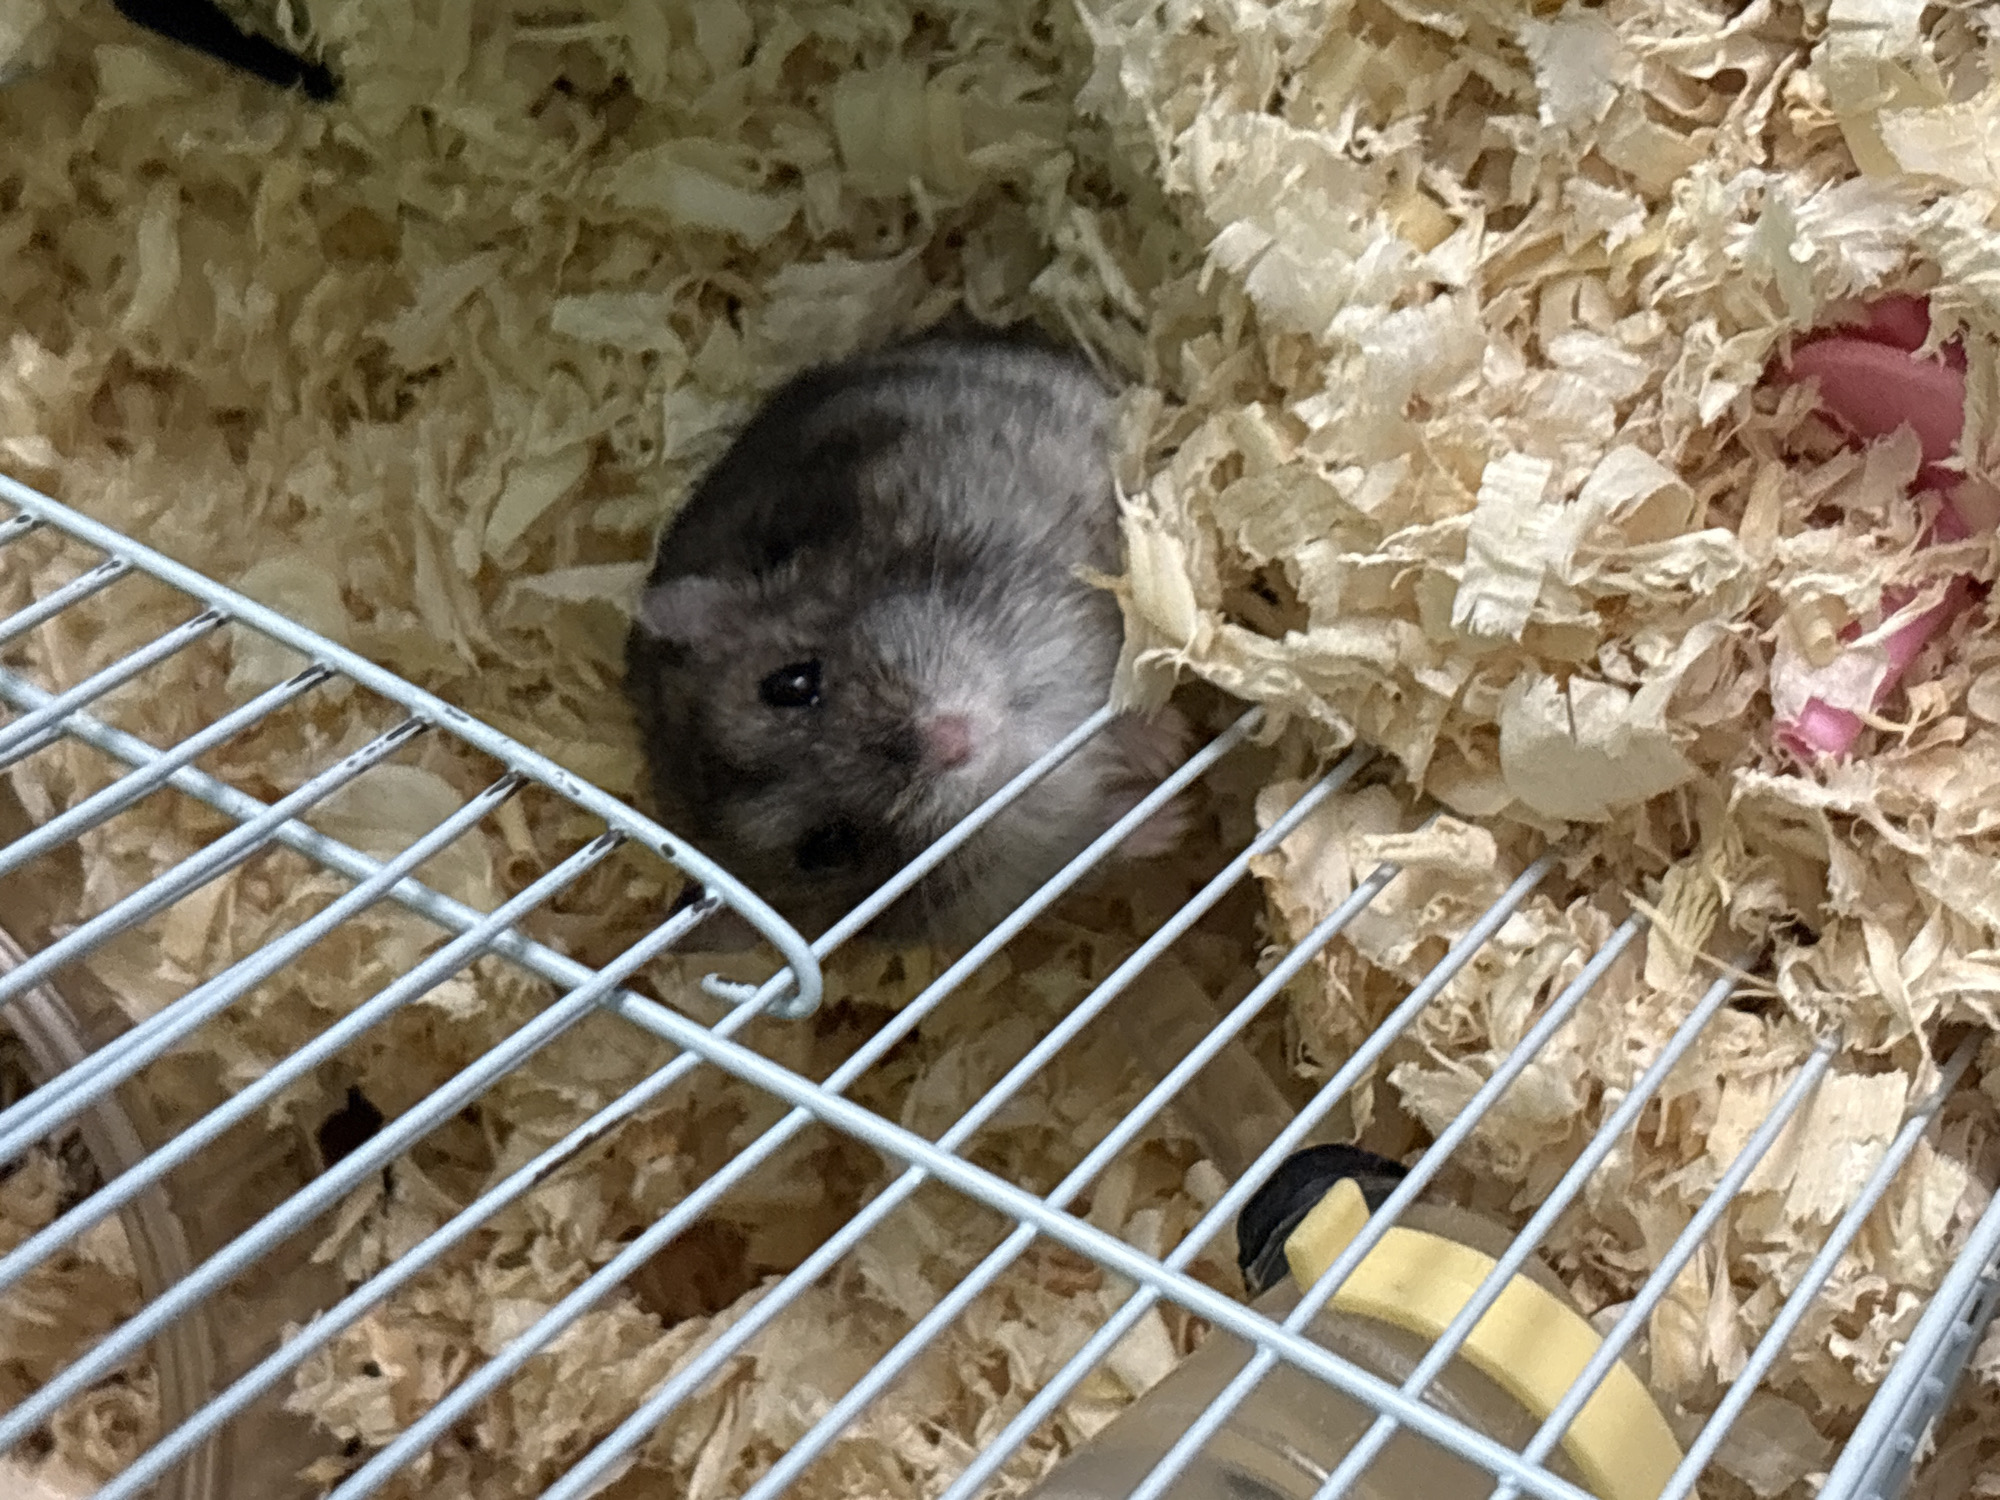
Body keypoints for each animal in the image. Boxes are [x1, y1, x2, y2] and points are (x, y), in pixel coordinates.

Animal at [625, 325, 1189, 946]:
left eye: (793, 682)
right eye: (826, 848)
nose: (952, 741)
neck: (1016, 739)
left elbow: (1122, 672)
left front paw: (1168, 743)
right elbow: (1097, 842)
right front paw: (1170, 818)